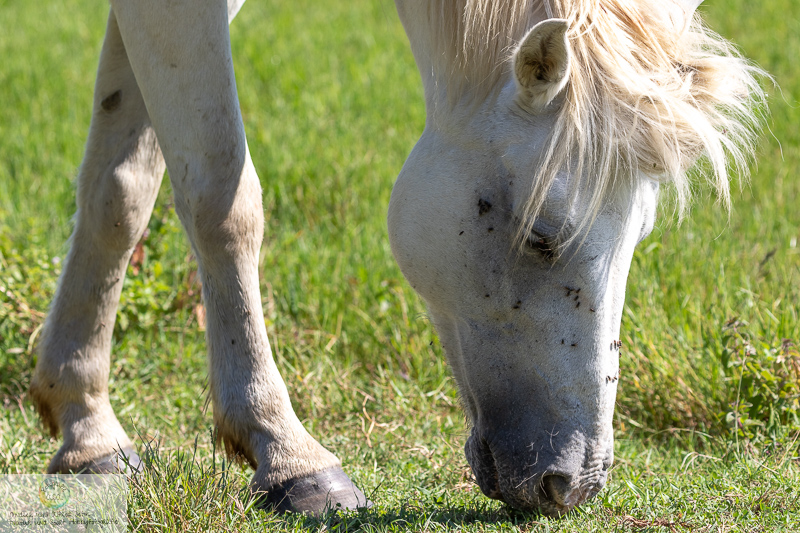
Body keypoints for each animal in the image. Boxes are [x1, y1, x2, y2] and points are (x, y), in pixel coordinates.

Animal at [31, 0, 764, 516]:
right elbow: (222, 197)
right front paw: (287, 451)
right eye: (541, 234)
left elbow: (122, 187)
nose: (572, 482)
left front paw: (86, 428)